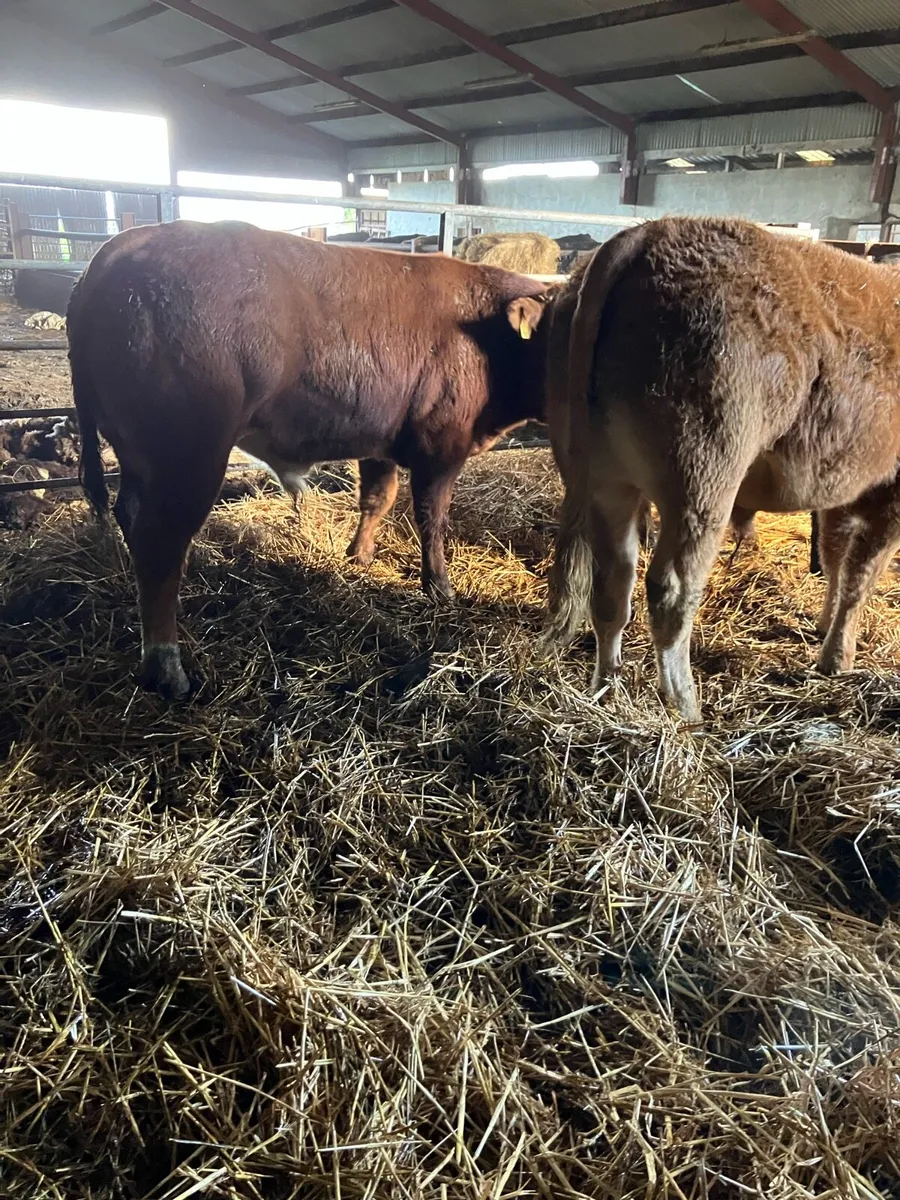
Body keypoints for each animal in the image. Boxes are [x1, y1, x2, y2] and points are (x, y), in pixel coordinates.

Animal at [68, 219, 551, 699]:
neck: (485, 336)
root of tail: (118, 249)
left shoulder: (379, 441)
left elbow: (377, 498)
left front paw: (358, 557)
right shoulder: (442, 446)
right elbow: (432, 518)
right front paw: (440, 587)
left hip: (138, 456)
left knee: (130, 515)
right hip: (189, 455)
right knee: (161, 543)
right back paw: (167, 668)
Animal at [544, 216, 900, 722]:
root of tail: (646, 234)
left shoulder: (844, 490)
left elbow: (835, 560)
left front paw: (825, 628)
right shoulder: (890, 493)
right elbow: (859, 576)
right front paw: (838, 656)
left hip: (605, 480)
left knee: (612, 585)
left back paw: (607, 690)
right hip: (703, 478)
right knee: (671, 591)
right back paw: (685, 708)